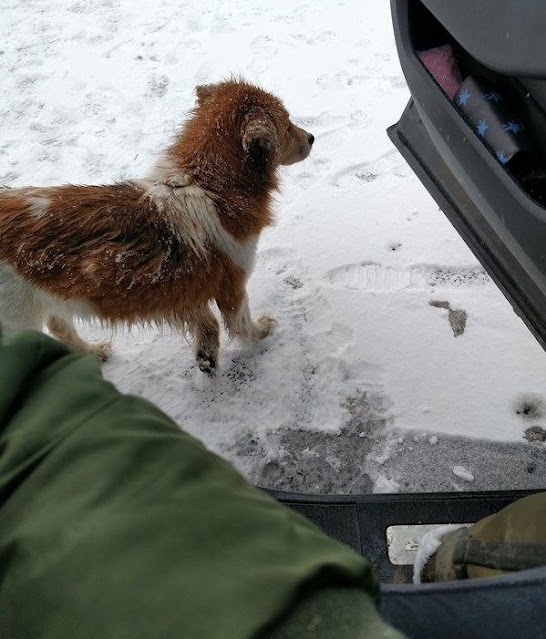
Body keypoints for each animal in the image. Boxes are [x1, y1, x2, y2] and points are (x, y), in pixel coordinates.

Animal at [0, 77, 312, 372]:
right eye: (286, 124)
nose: (312, 138)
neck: (210, 184)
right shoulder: (232, 287)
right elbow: (242, 324)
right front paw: (261, 332)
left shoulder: (186, 290)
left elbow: (205, 322)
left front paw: (206, 356)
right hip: (17, 317)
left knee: (58, 325)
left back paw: (92, 352)